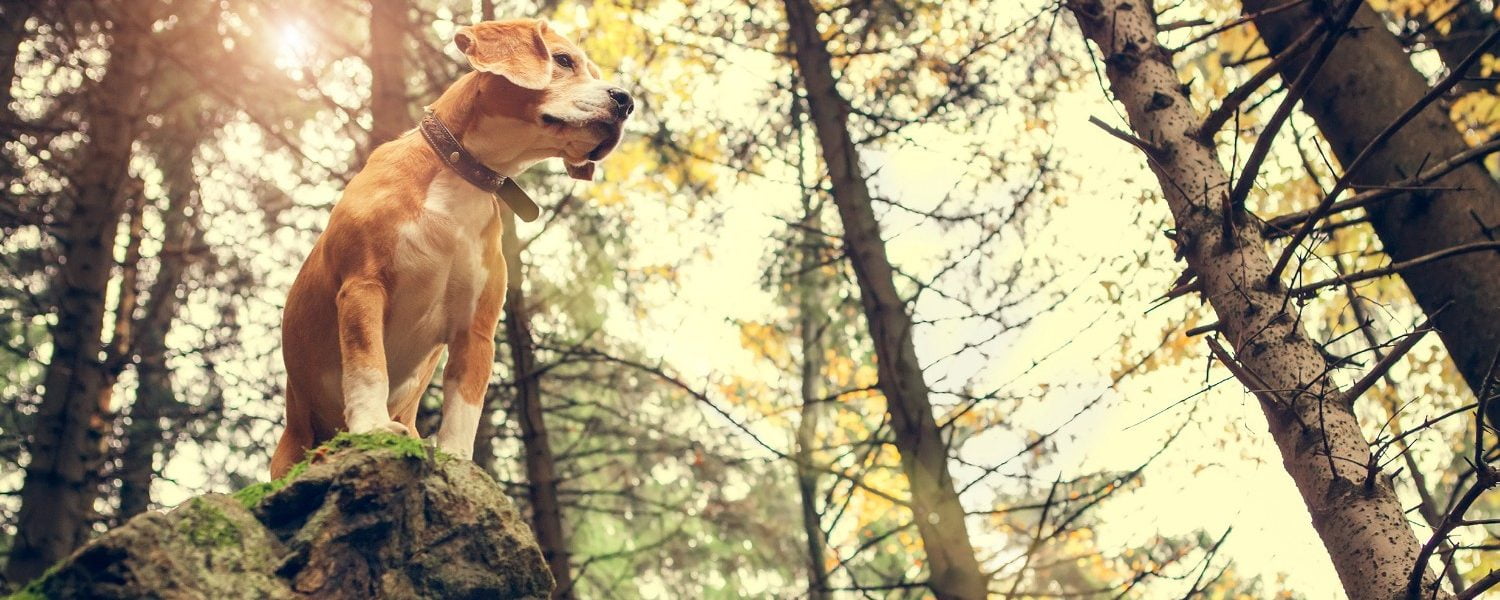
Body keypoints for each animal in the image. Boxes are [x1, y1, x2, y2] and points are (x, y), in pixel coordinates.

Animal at [273, 19, 630, 477]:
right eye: (564, 60)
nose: (626, 101)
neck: (460, 175)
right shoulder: (362, 287)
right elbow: (368, 367)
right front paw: (372, 426)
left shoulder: (475, 332)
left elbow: (464, 409)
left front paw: (458, 460)